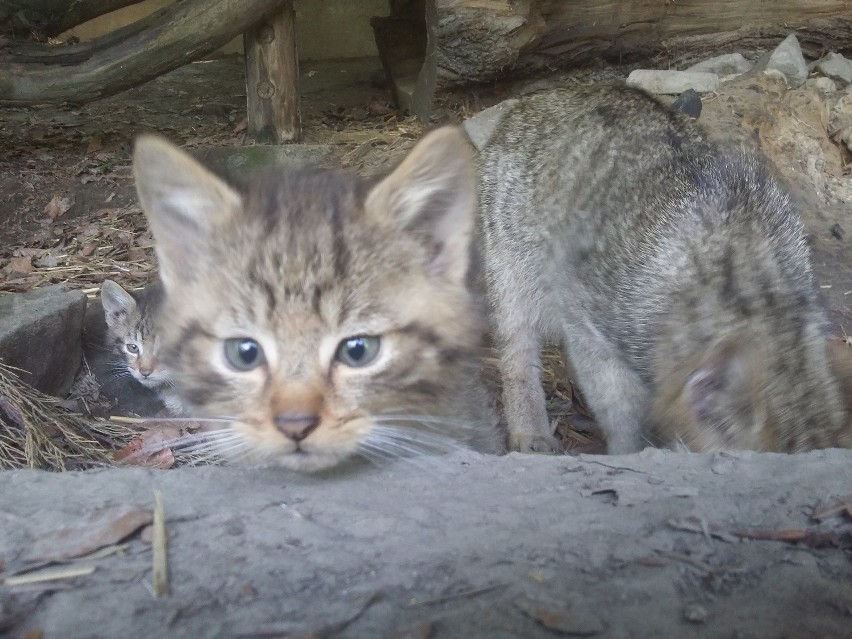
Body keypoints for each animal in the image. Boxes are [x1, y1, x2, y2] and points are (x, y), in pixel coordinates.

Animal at [476, 85, 848, 456]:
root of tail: (538, 96)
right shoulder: (584, 315)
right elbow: (620, 406)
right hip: (510, 260)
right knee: (516, 347)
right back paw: (529, 427)